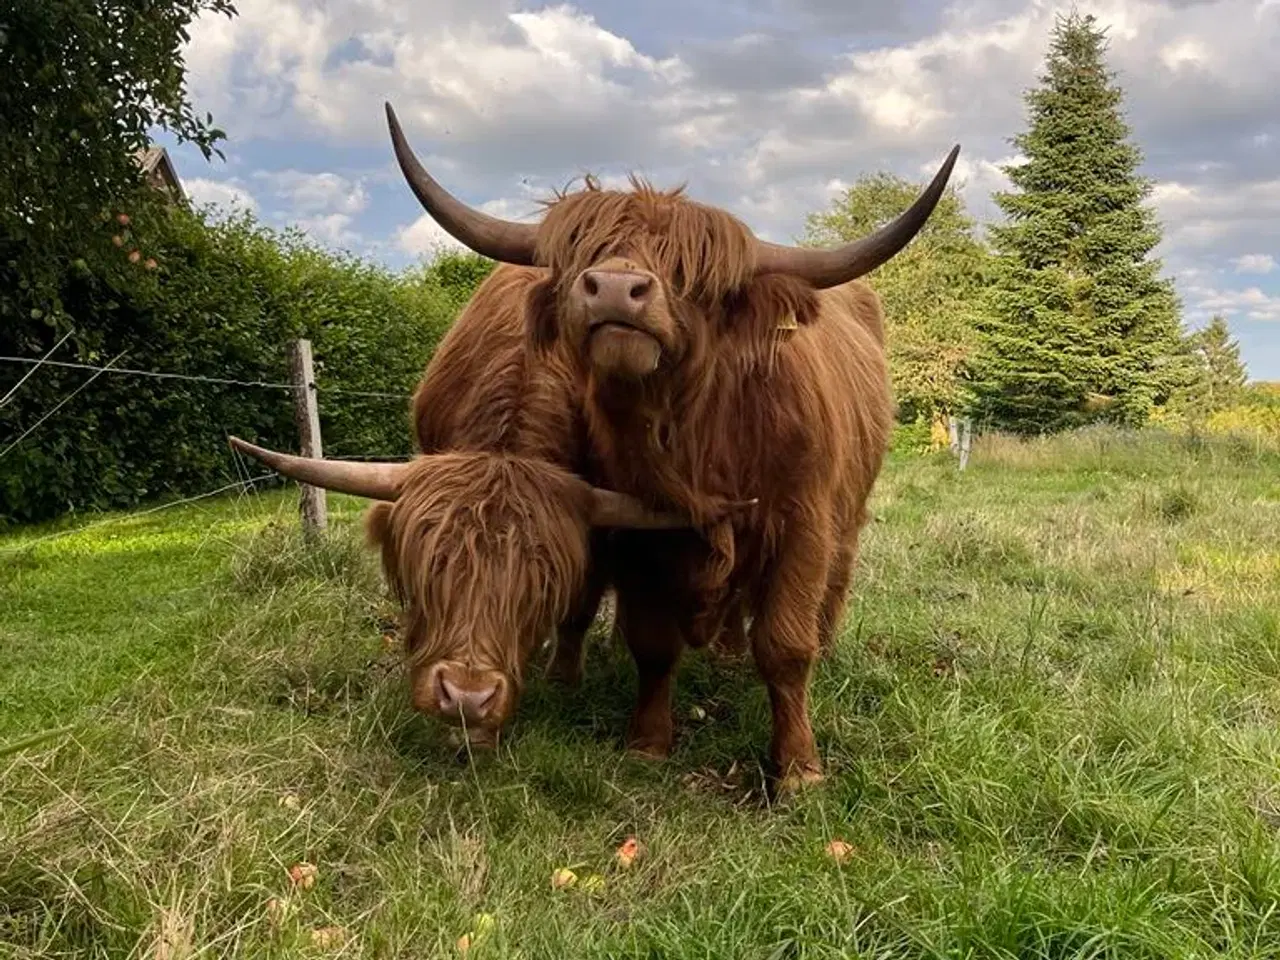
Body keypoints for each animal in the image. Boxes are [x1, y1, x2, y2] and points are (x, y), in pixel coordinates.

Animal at [384, 99, 962, 788]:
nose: (613, 288)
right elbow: (652, 644)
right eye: (586, 253)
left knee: (823, 601)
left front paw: (798, 768)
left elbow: (785, 647)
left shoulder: (803, 525)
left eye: (692, 274)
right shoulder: (638, 535)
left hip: (846, 522)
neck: (701, 444)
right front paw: (649, 742)